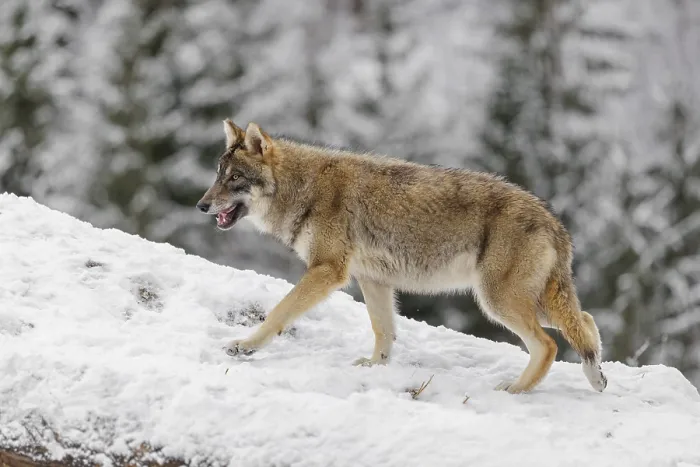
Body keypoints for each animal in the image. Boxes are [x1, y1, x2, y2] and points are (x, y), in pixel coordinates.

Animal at [196, 119, 608, 394]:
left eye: (234, 178)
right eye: (218, 175)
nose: (200, 205)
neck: (304, 188)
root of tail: (555, 223)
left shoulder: (327, 271)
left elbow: (279, 313)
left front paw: (245, 347)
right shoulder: (372, 279)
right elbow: (384, 330)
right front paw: (375, 367)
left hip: (497, 302)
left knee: (550, 344)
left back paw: (517, 389)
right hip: (523, 302)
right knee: (585, 321)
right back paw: (596, 377)